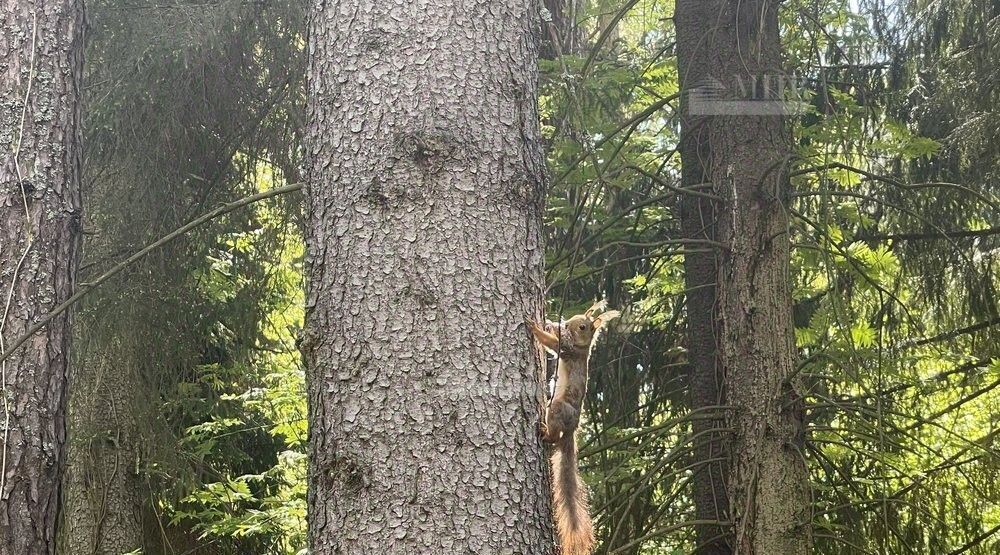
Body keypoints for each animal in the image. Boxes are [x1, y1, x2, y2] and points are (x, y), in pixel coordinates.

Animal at [528, 302, 620, 555]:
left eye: (582, 327)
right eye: (573, 320)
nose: (566, 324)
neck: (583, 347)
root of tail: (572, 429)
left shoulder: (569, 351)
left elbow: (554, 345)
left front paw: (534, 327)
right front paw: (548, 323)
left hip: (558, 408)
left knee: (554, 434)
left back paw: (546, 433)